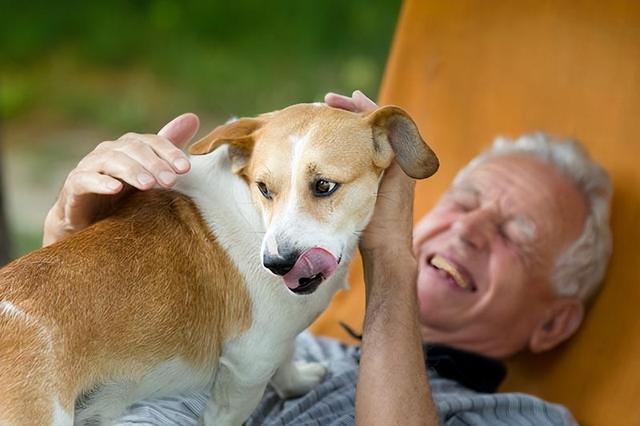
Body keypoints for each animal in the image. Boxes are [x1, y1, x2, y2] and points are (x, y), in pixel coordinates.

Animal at [0, 104, 436, 426]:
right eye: (264, 188)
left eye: (324, 186)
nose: (277, 264)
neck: (250, 213)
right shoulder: (246, 368)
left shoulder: (272, 344)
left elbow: (287, 356)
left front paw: (296, 381)